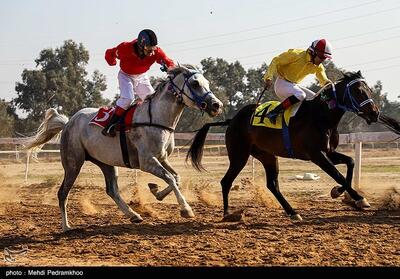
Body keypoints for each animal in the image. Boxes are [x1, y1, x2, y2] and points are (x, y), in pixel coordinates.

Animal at [26, 64, 223, 233]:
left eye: (207, 83)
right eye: (195, 83)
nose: (216, 105)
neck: (156, 118)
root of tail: (68, 123)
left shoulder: (162, 158)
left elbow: (176, 177)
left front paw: (156, 191)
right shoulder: (147, 161)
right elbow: (170, 178)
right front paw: (185, 209)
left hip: (106, 163)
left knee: (112, 190)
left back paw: (134, 215)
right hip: (73, 162)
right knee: (63, 192)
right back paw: (66, 226)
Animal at [188, 71, 396, 222]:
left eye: (369, 90)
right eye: (358, 91)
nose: (375, 113)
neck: (321, 117)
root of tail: (232, 120)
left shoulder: (328, 152)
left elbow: (351, 162)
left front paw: (344, 194)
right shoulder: (316, 155)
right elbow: (337, 174)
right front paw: (355, 198)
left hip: (268, 156)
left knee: (272, 185)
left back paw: (292, 211)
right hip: (239, 155)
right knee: (226, 181)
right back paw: (227, 214)